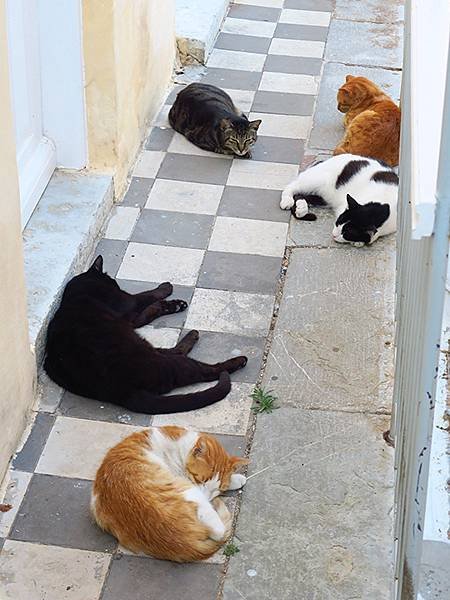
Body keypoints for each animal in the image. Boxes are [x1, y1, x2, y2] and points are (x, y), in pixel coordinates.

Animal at [44, 255, 248, 414]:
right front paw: (168, 291)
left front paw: (173, 305)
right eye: (112, 281)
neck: (74, 293)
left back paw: (192, 333)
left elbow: (150, 309)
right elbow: (148, 295)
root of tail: (124, 391)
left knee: (174, 351)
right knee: (203, 370)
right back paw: (236, 361)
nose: (115, 283)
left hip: (145, 344)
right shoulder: (128, 302)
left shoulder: (132, 318)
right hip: (167, 361)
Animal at [90, 426, 248, 564]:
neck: (178, 448)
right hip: (189, 492)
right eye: (200, 480)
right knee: (218, 531)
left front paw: (236, 479)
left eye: (216, 489)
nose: (208, 496)